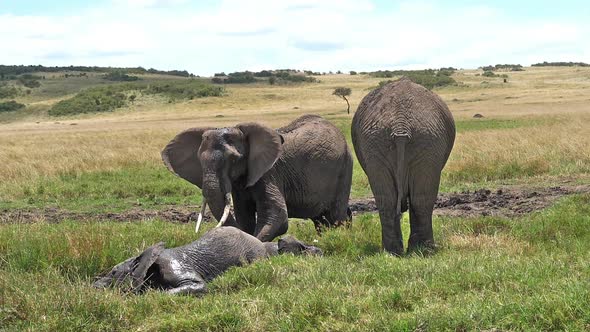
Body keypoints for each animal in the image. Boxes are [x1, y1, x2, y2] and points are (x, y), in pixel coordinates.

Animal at [162, 114, 354, 241]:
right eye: (200, 162)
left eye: (234, 159)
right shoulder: (240, 183)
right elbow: (243, 216)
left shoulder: (268, 173)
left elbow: (277, 215)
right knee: (321, 219)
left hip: (345, 167)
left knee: (335, 216)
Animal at [352, 77, 458, 254]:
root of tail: (400, 125)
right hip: (419, 139)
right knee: (418, 199)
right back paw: (418, 250)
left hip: (407, 140)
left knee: (392, 199)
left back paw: (399, 251)